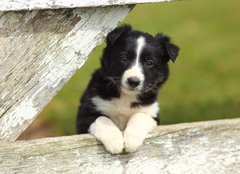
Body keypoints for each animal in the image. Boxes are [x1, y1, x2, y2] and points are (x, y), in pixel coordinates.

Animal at [76, 24, 179, 154]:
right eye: (124, 58)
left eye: (149, 63)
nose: (133, 81)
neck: (126, 96)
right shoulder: (85, 113)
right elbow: (102, 119)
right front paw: (115, 141)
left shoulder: (152, 114)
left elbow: (139, 116)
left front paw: (131, 140)